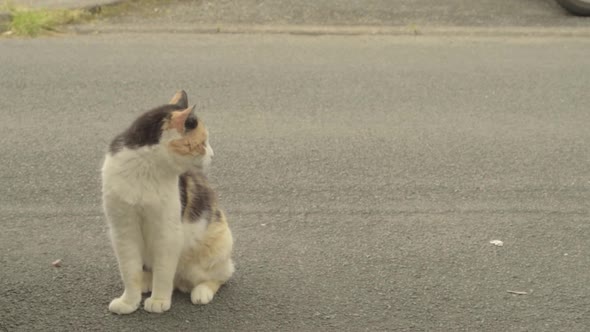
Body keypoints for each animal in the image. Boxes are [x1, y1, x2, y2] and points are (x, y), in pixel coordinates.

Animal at [102, 91, 234, 314]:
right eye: (203, 143)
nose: (212, 155)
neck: (145, 168)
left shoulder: (167, 232)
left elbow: (163, 272)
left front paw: (159, 300)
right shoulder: (123, 230)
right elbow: (129, 271)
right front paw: (129, 302)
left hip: (218, 245)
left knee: (220, 276)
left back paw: (200, 292)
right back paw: (146, 282)